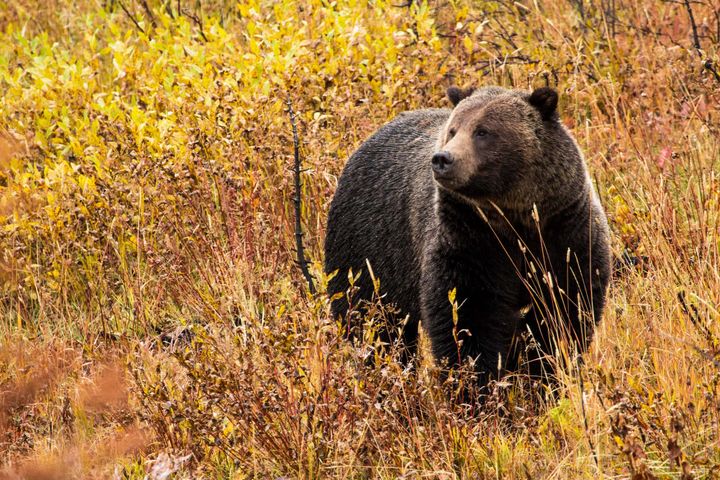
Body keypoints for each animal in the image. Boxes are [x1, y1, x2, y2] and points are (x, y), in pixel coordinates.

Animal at [324, 86, 611, 388]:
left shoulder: (565, 233)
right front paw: (475, 382)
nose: (442, 159)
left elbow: (563, 311)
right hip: (369, 251)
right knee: (374, 322)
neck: (515, 221)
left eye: (483, 131)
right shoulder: (469, 240)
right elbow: (468, 316)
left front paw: (542, 374)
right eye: (453, 130)